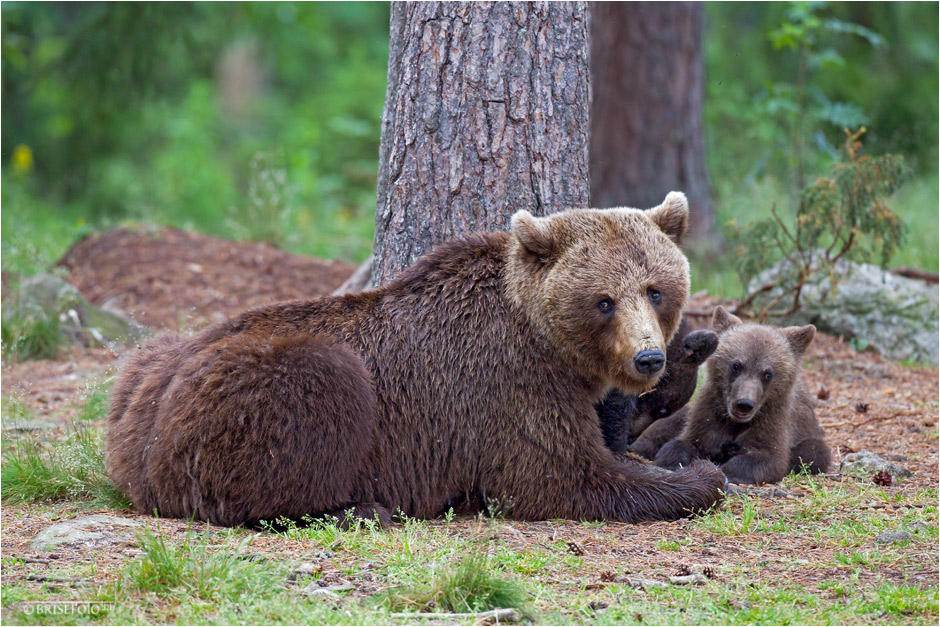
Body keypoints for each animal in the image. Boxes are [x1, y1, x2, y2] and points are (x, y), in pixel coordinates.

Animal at [108, 194, 728, 528]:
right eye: (603, 300)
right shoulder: (508, 384)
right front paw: (697, 475)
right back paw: (360, 509)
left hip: (146, 365)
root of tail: (139, 452)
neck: (546, 341)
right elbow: (560, 475)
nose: (648, 357)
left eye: (654, 289)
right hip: (248, 392)